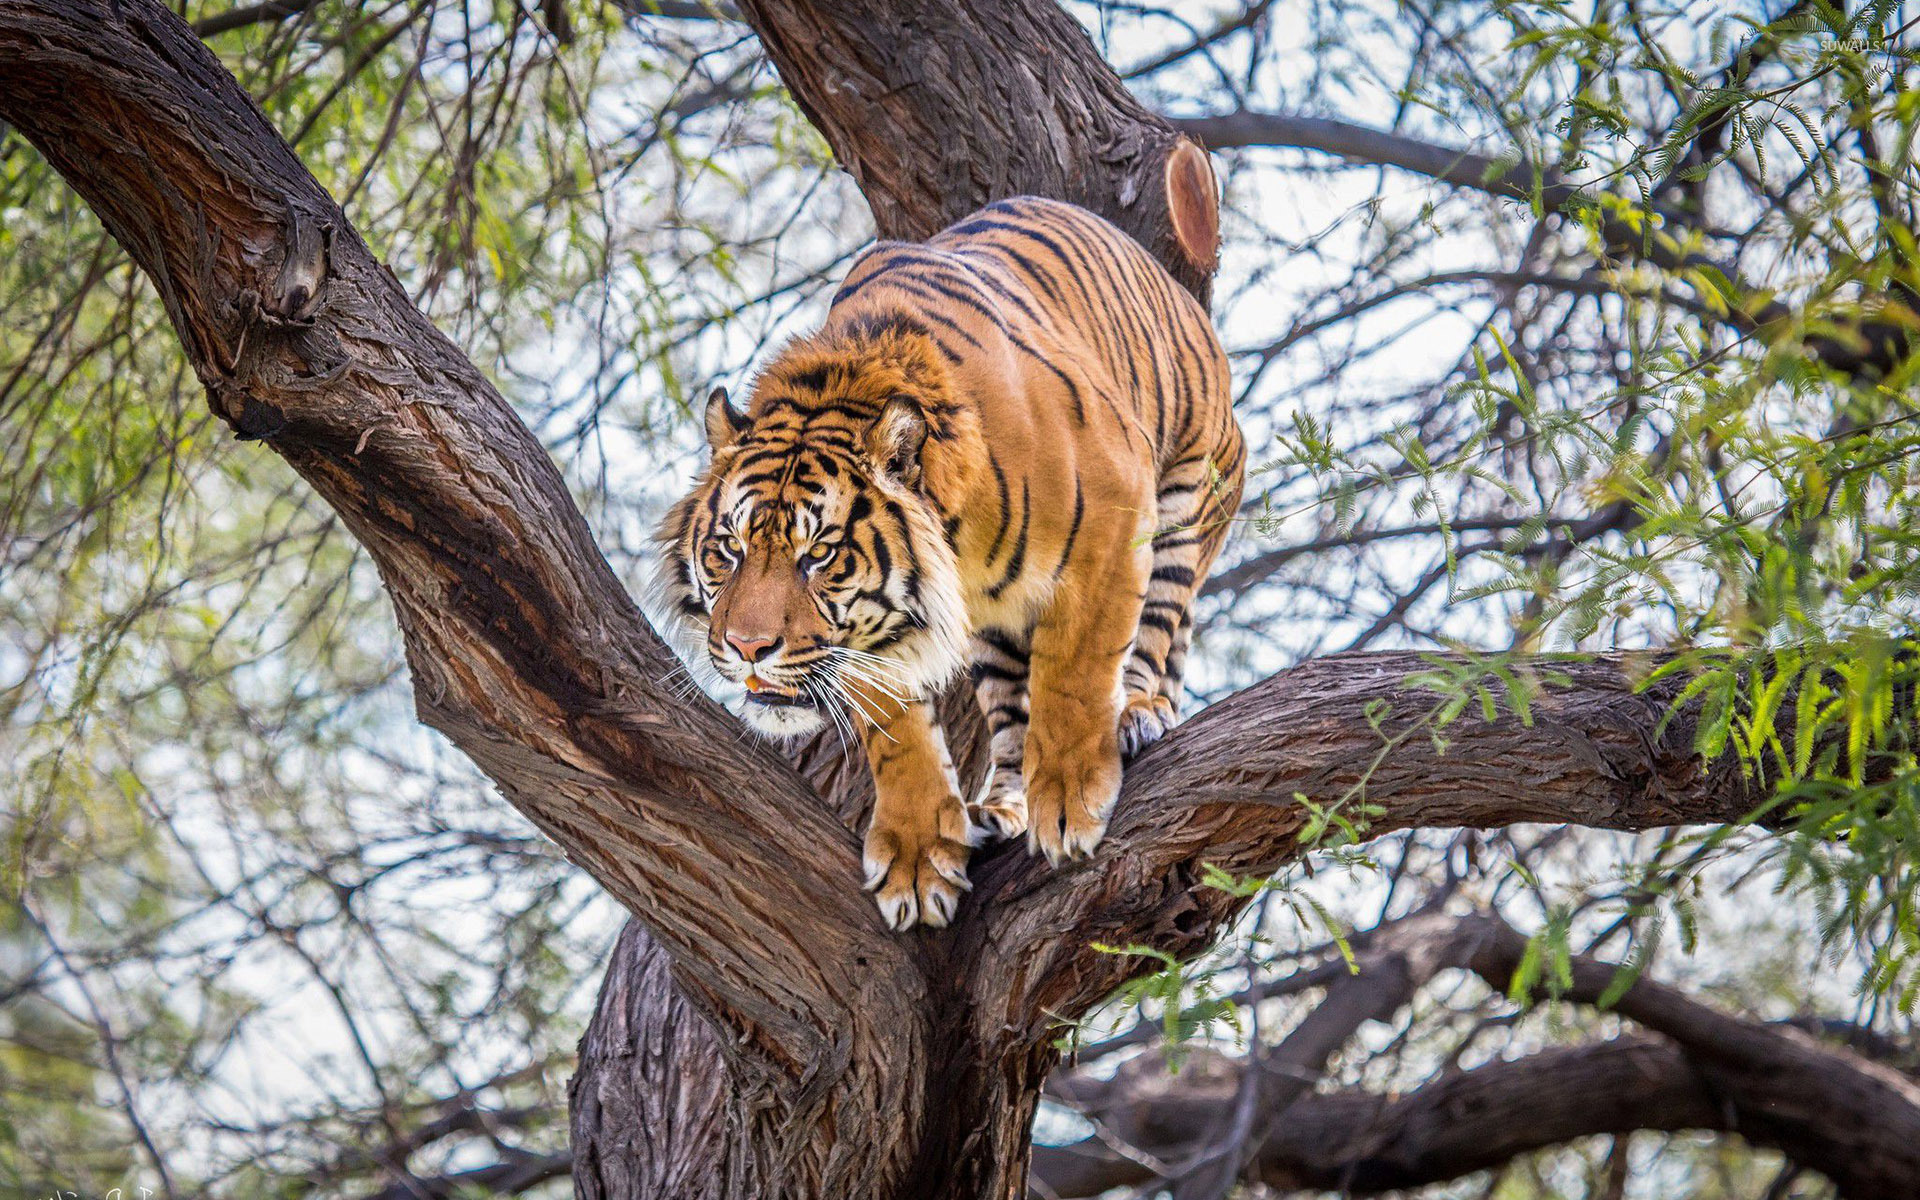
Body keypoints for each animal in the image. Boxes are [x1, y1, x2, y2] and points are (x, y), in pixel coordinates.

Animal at [652, 193, 1244, 925]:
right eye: (730, 550)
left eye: (819, 554)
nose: (746, 647)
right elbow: (898, 734)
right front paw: (916, 859)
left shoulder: (1114, 516)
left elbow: (1075, 671)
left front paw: (1071, 798)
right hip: (993, 632)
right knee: (1013, 719)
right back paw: (999, 808)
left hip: (1192, 493)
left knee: (1156, 632)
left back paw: (1135, 715)